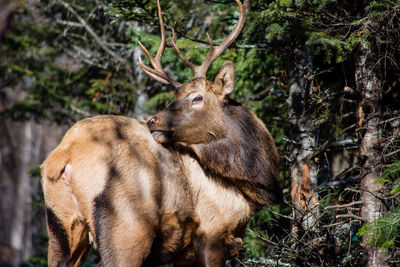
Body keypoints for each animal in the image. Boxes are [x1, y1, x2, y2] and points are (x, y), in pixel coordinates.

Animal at [40, 0, 282, 266]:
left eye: (196, 98)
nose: (152, 120)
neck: (246, 190)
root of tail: (65, 154)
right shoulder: (213, 232)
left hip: (62, 226)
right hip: (126, 225)